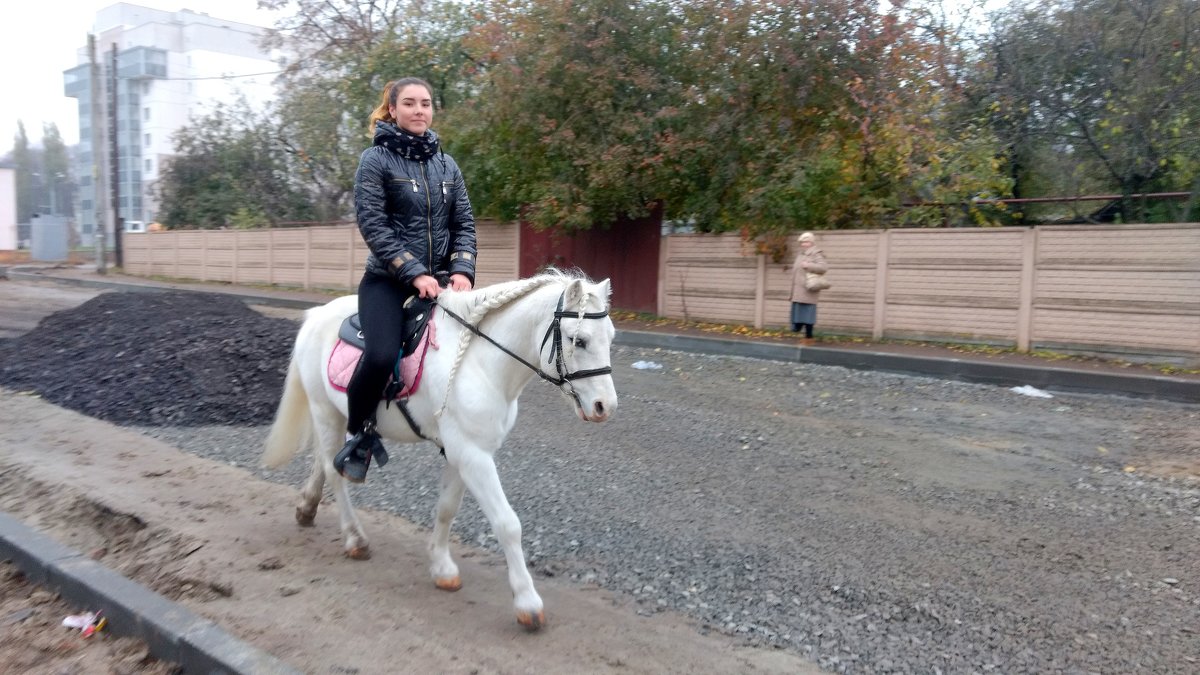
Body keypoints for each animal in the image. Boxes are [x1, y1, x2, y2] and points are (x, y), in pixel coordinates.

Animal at [264, 267, 619, 624]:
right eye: (579, 340)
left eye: (611, 337)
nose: (605, 406)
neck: (480, 363)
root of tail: (315, 315)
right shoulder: (473, 456)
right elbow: (507, 524)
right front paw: (527, 602)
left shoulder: (461, 454)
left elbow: (447, 508)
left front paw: (442, 567)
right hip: (324, 410)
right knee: (333, 472)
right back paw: (354, 538)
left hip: (334, 415)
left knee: (324, 461)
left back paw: (307, 507)